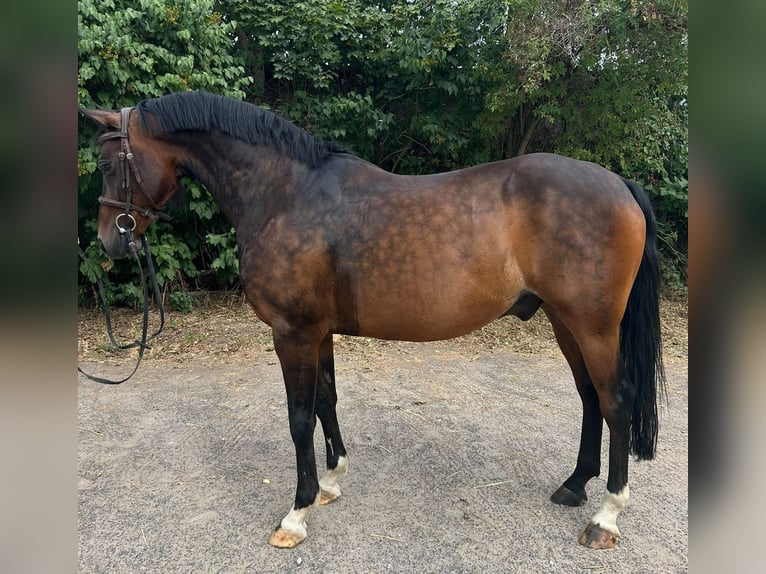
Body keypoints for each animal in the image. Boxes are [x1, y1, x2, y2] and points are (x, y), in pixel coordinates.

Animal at [79, 91, 665, 550]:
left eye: (107, 165)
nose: (110, 241)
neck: (285, 193)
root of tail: (620, 184)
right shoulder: (318, 333)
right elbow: (326, 402)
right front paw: (332, 482)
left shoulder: (292, 333)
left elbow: (298, 418)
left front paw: (296, 513)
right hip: (565, 322)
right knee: (589, 397)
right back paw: (575, 484)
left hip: (592, 325)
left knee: (616, 401)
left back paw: (606, 516)